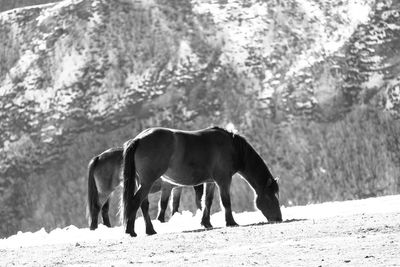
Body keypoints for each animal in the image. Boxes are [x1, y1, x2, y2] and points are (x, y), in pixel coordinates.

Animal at [122, 126, 282, 238]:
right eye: (270, 197)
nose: (279, 219)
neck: (232, 147)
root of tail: (139, 139)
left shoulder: (210, 182)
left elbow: (208, 201)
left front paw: (206, 223)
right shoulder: (223, 180)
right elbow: (226, 201)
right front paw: (231, 222)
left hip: (143, 183)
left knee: (143, 204)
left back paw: (150, 230)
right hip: (148, 182)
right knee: (135, 202)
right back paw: (131, 231)